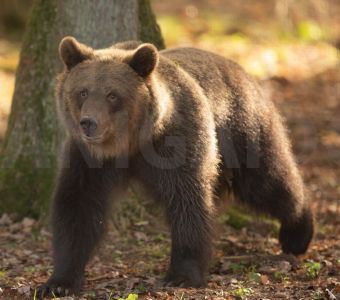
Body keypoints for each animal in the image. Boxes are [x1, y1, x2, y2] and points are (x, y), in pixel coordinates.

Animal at [36, 36, 314, 296]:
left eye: (112, 94)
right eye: (82, 91)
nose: (89, 123)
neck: (130, 145)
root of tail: (243, 71)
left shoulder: (177, 142)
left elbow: (188, 201)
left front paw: (181, 275)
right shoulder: (88, 159)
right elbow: (78, 206)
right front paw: (59, 282)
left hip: (243, 131)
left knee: (269, 182)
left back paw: (298, 233)